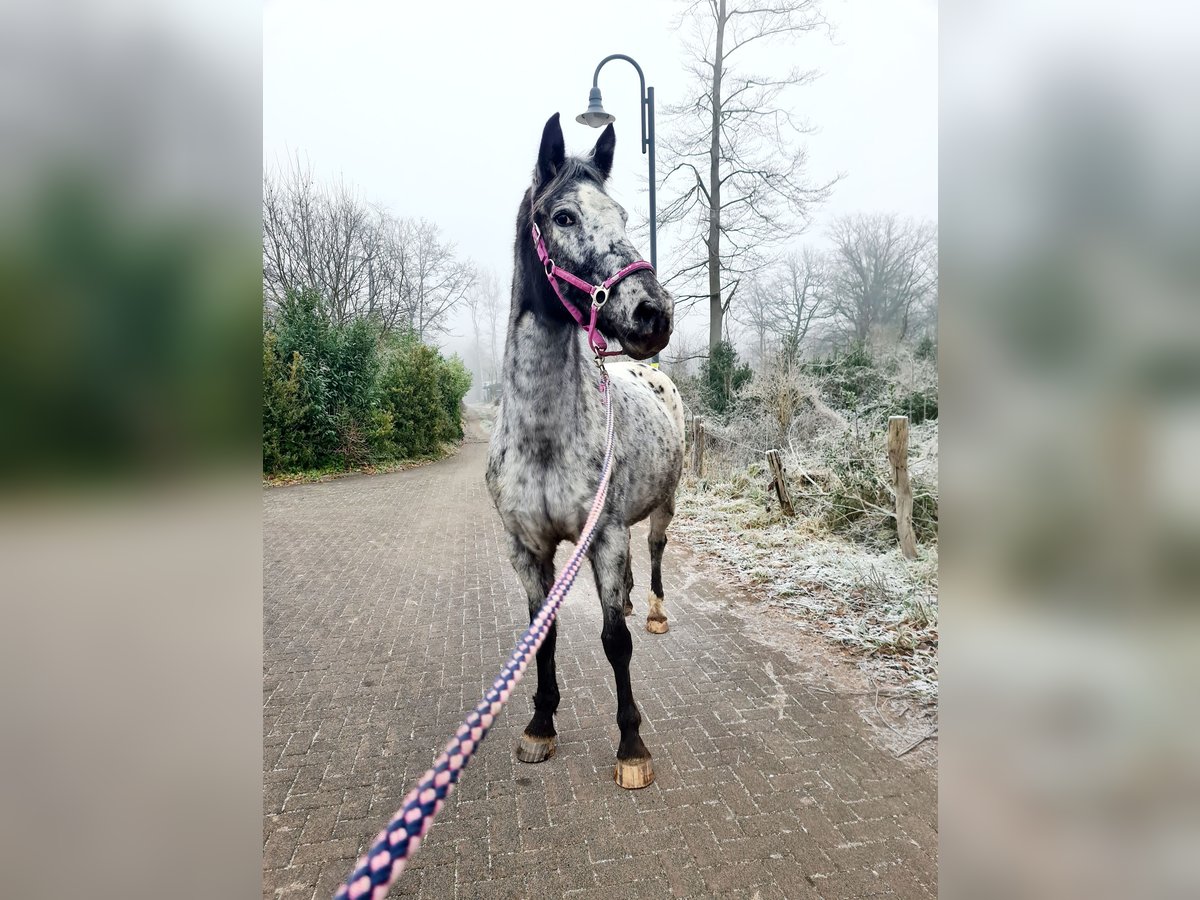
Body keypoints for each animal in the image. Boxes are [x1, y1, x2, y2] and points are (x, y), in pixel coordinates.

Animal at [484, 112, 686, 787]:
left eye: (622, 214)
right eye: (564, 216)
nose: (652, 313)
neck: (546, 439)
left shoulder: (605, 535)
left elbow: (614, 642)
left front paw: (632, 745)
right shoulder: (527, 549)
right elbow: (540, 636)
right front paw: (540, 725)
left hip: (661, 509)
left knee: (653, 555)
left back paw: (653, 609)